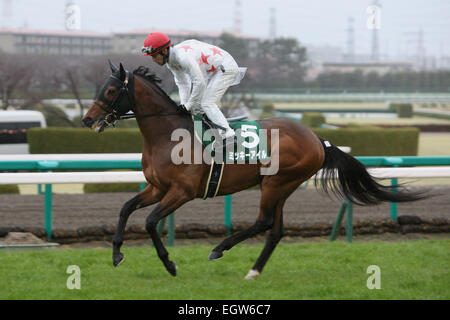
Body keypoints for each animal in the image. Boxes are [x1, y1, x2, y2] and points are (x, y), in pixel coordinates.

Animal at [83, 62, 426, 280]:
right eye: (101, 87)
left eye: (111, 91)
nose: (87, 119)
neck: (168, 135)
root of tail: (318, 139)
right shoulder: (157, 188)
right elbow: (126, 208)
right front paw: (116, 255)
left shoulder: (182, 192)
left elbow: (151, 222)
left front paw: (170, 265)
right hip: (281, 186)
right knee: (275, 230)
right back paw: (253, 271)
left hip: (277, 182)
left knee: (263, 221)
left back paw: (220, 248)